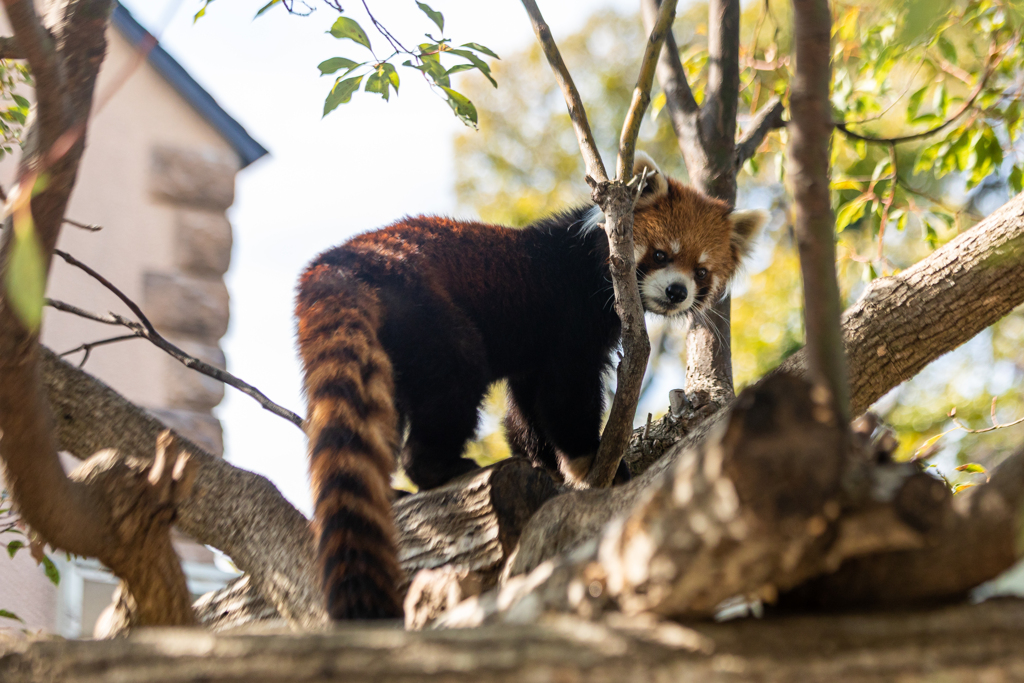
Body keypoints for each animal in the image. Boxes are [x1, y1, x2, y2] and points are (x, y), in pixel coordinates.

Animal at [292, 153, 765, 618]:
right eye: (662, 253)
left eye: (701, 271)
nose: (676, 292)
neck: (596, 262)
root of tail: (340, 260)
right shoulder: (571, 324)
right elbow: (564, 397)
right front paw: (587, 461)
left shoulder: (534, 359)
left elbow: (526, 410)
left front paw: (543, 464)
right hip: (426, 309)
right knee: (454, 380)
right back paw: (440, 467)